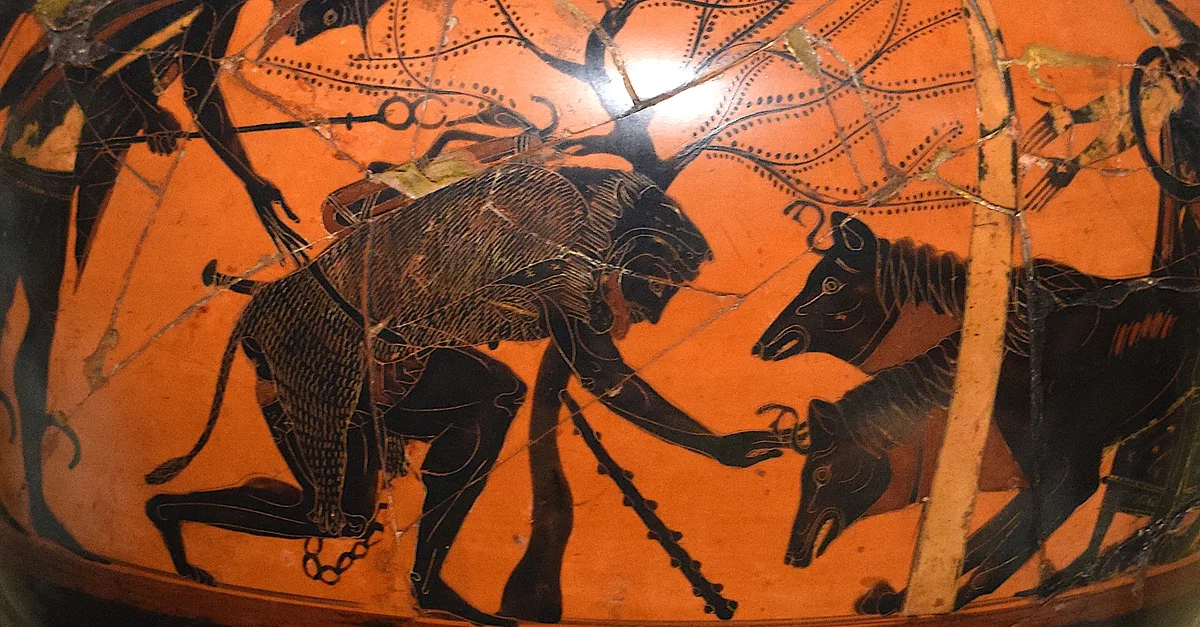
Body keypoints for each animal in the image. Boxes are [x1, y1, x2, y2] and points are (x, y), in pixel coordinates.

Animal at [752, 211, 1200, 613]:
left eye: (830, 284)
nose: (764, 344)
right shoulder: (1032, 478)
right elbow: (987, 539)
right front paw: (905, 598)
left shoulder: (1070, 475)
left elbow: (1005, 541)